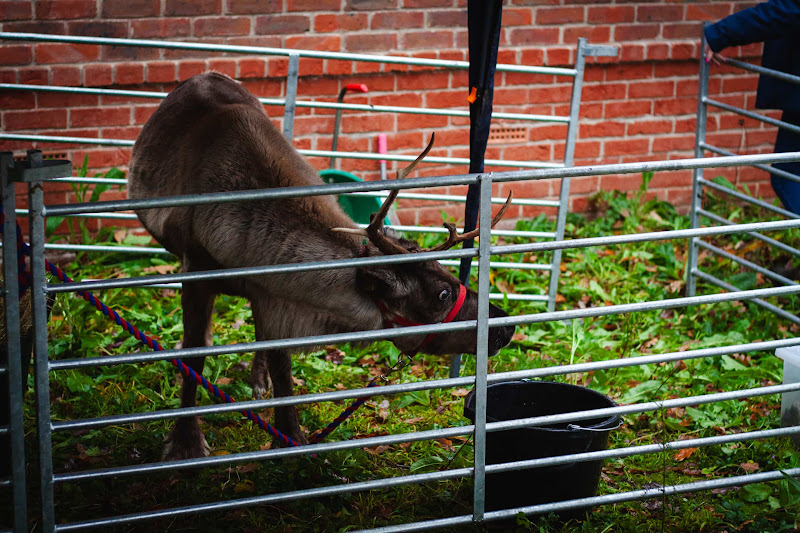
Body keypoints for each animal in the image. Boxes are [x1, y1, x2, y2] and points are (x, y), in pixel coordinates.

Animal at [128, 72, 514, 460]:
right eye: (443, 293)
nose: (506, 325)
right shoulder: (197, 272)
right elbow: (195, 357)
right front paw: (185, 443)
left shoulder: (272, 293)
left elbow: (280, 362)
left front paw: (289, 436)